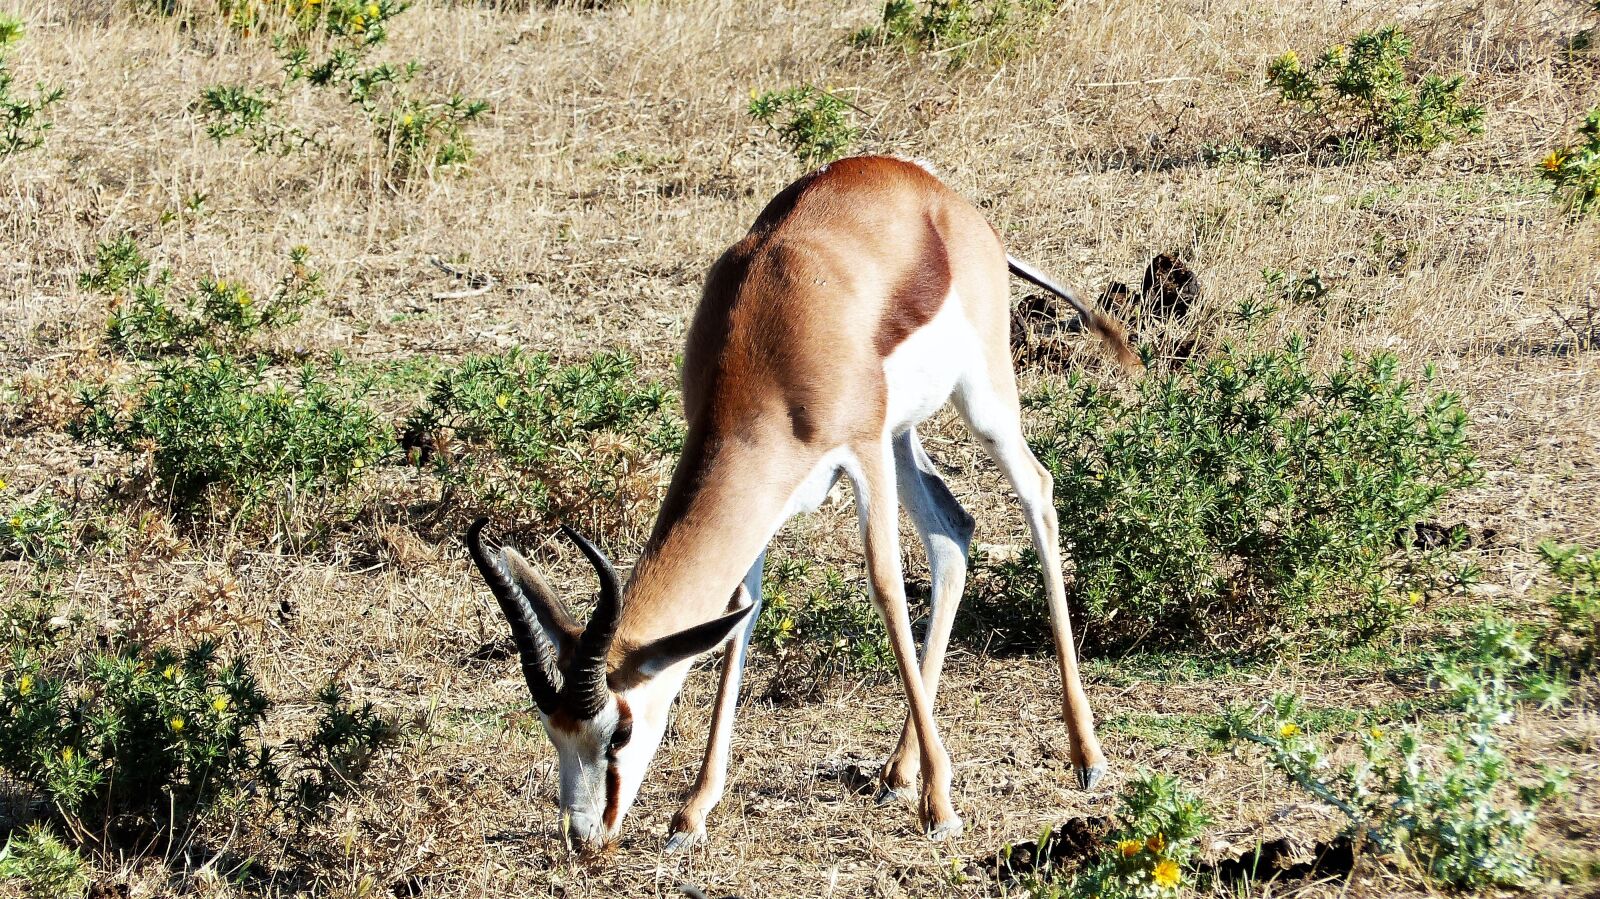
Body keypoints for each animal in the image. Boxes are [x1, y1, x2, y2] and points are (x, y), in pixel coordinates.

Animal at [466, 155, 1140, 852]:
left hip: (977, 404)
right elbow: (741, 609)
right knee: (953, 530)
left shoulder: (862, 453)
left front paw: (943, 809)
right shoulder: (774, 486)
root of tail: (944, 199)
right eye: (552, 730)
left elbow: (886, 588)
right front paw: (692, 812)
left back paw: (1085, 757)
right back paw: (898, 771)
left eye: (619, 731)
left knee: (1038, 492)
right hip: (904, 436)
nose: (583, 835)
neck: (770, 334)